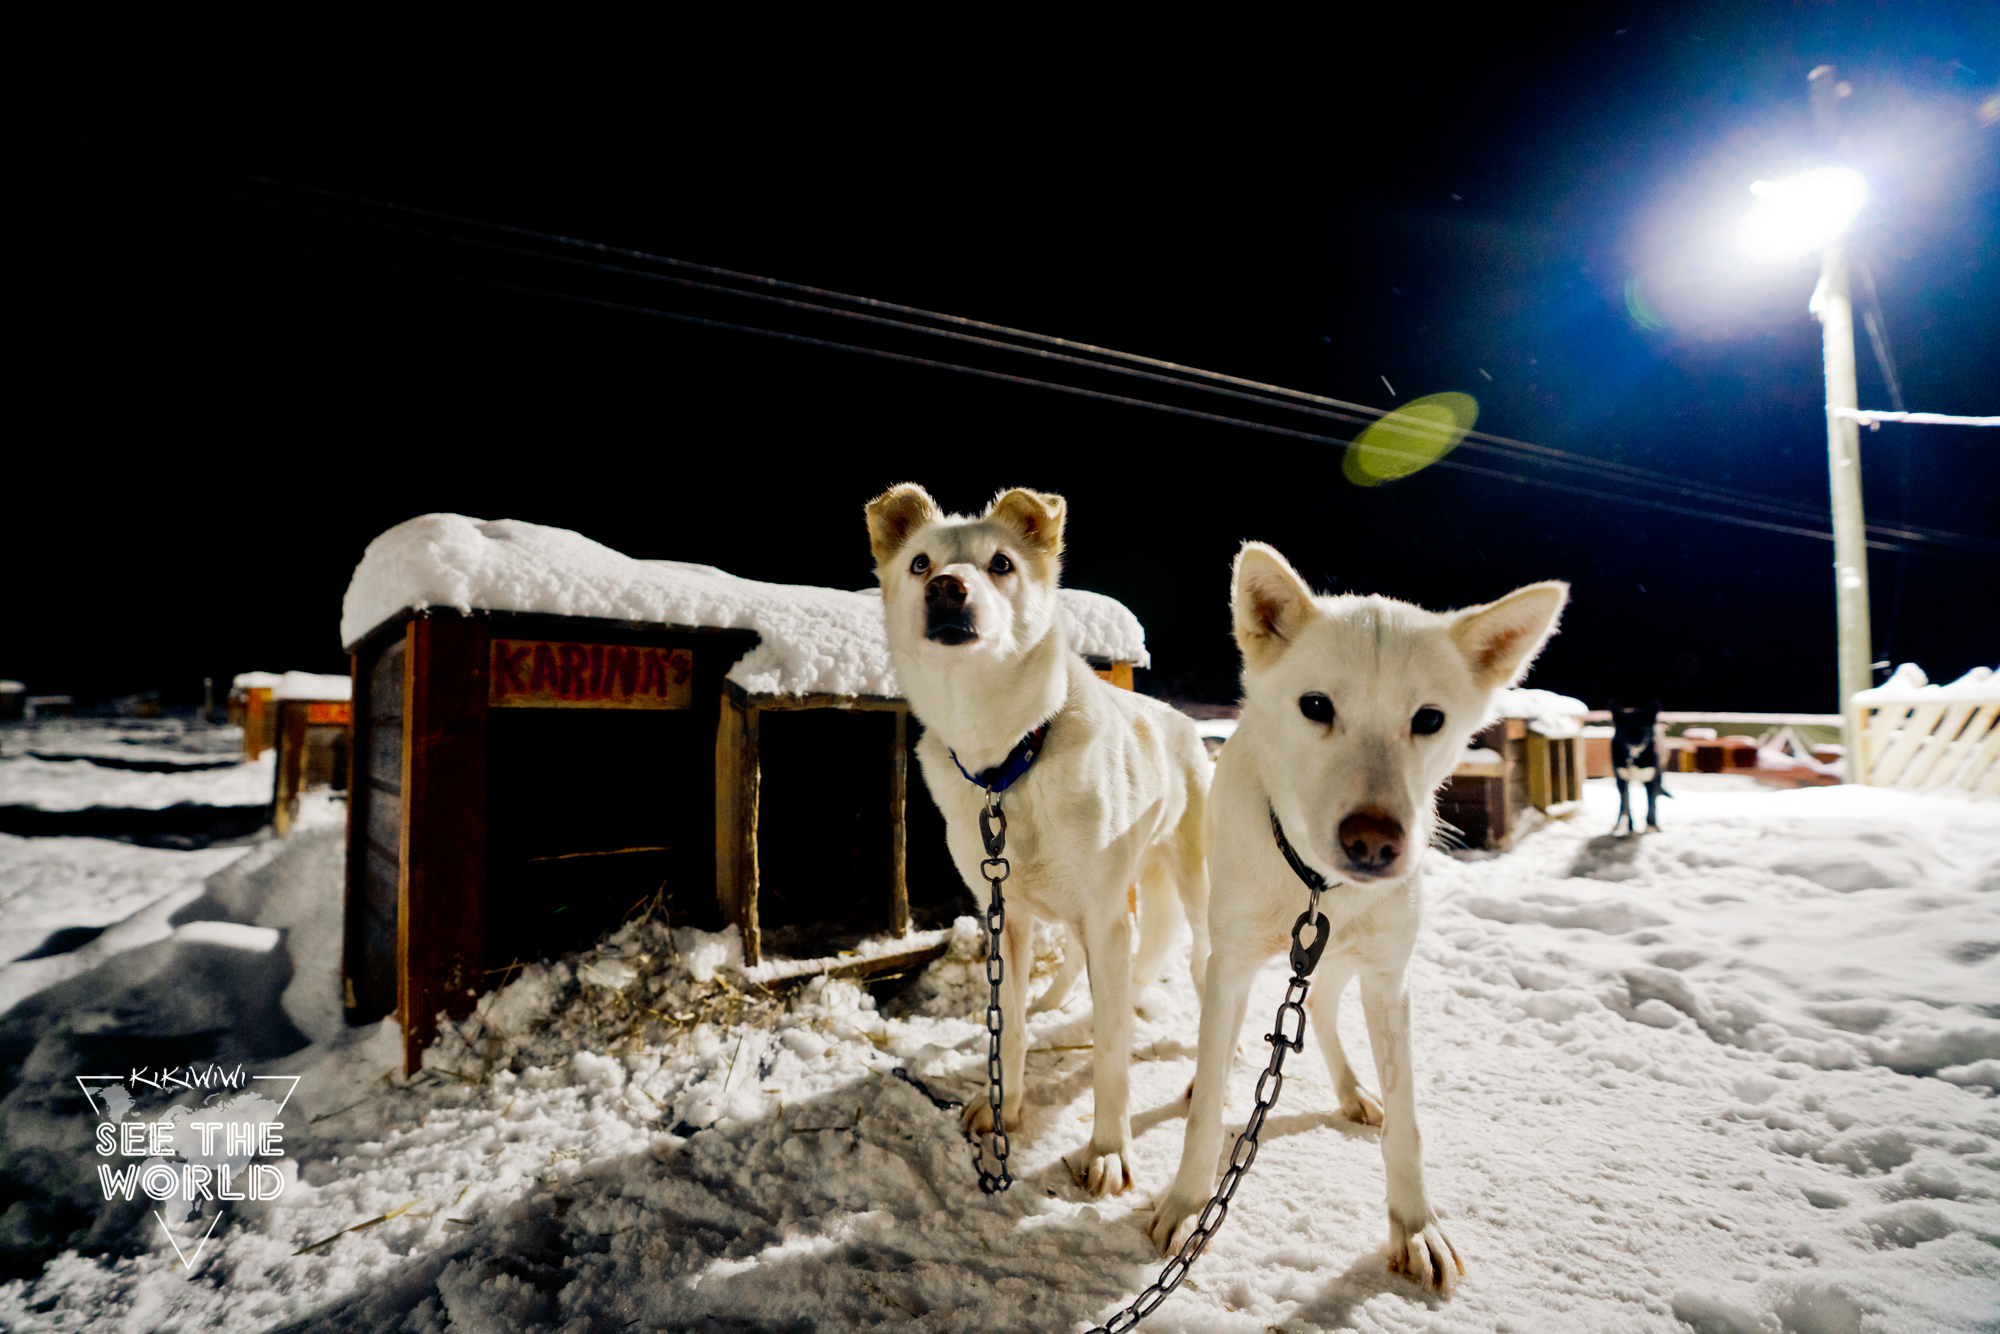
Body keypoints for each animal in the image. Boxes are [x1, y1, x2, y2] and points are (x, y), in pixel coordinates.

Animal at [868, 486, 1208, 1192]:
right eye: (919, 564)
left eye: (1001, 563)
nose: (946, 589)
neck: (1007, 761)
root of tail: (1180, 719)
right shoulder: (1010, 918)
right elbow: (1013, 1026)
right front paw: (1005, 1104)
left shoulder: (1105, 918)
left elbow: (1109, 1051)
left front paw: (1107, 1149)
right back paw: (1055, 998)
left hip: (1195, 895)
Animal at [1152, 544, 1568, 1296]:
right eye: (1316, 706)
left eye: (1428, 719)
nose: (1374, 841)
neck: (1321, 887)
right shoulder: (1234, 967)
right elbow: (1204, 1114)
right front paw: (1189, 1201)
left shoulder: (1387, 981)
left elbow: (1407, 1126)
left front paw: (1416, 1225)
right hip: (1217, 939)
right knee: (1218, 1022)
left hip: (1345, 964)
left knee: (1321, 1011)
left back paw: (1350, 1092)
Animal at [1608, 700, 1672, 836]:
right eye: (1626, 729)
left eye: (1643, 729)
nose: (1636, 744)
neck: (1634, 757)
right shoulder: (1622, 780)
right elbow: (1625, 804)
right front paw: (1626, 826)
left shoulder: (1652, 781)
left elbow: (1651, 806)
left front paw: (1650, 827)